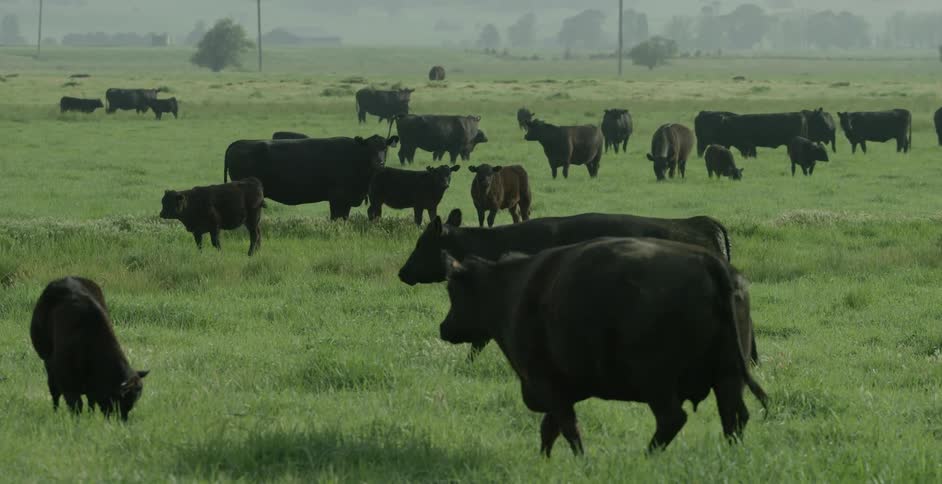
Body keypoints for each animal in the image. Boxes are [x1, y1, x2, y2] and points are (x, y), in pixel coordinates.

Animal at [30, 277, 149, 421]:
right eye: (120, 400)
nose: (122, 421)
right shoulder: (67, 383)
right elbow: (76, 405)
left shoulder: (92, 388)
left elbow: (91, 403)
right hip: (47, 361)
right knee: (54, 392)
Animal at [224, 135, 399, 220]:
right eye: (369, 148)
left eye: (385, 148)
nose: (379, 162)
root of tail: (239, 143)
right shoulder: (337, 198)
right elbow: (336, 218)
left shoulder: (347, 201)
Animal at [438, 237, 768, 455]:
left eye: (454, 291)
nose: (444, 328)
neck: (511, 288)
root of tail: (710, 262)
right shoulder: (564, 389)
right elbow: (550, 428)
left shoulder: (548, 384)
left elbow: (567, 428)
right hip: (728, 378)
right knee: (734, 417)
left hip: (656, 383)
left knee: (673, 419)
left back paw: (646, 457)